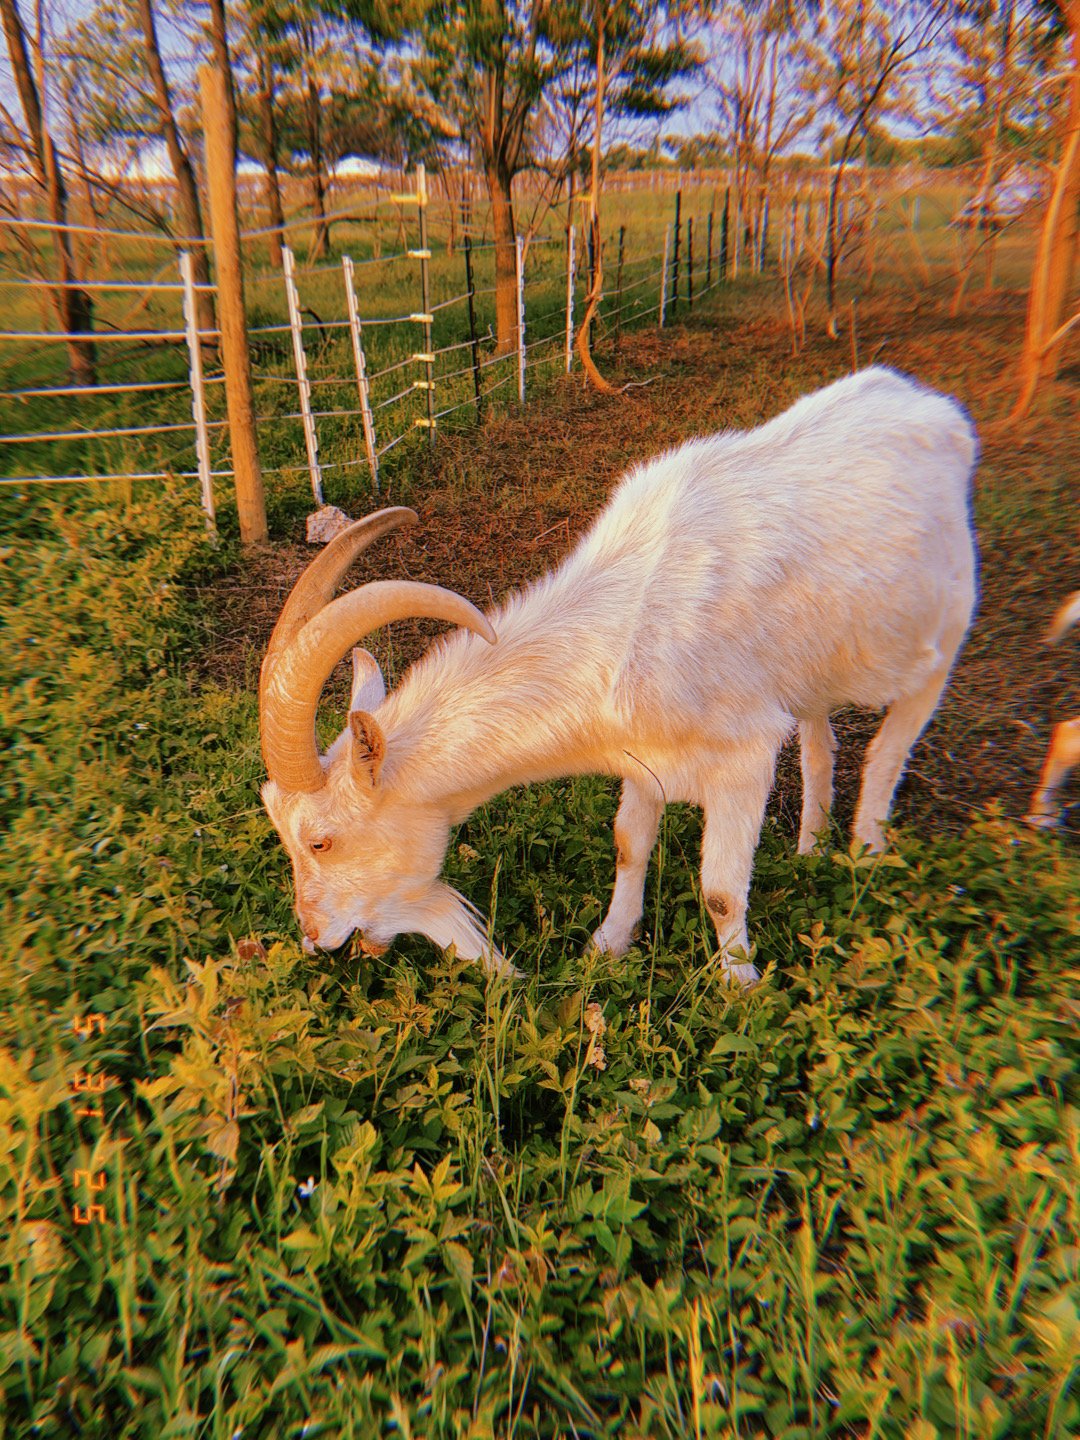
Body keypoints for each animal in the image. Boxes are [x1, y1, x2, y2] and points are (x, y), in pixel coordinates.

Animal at [259, 367, 978, 983]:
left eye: (320, 841)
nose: (315, 937)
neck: (628, 629)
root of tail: (935, 408)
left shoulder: (745, 754)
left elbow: (721, 890)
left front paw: (740, 984)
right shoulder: (643, 757)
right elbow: (629, 843)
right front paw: (609, 945)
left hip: (943, 639)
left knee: (890, 747)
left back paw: (865, 855)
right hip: (813, 671)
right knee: (820, 739)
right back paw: (810, 846)